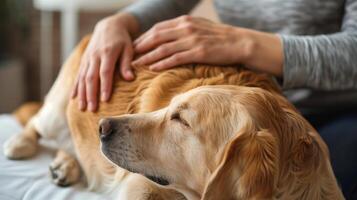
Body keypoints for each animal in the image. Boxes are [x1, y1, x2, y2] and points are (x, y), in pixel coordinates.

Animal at [2, 36, 342, 200]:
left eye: (181, 120)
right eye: (170, 109)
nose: (103, 126)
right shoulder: (138, 188)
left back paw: (65, 165)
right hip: (61, 104)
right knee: (36, 122)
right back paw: (21, 144)